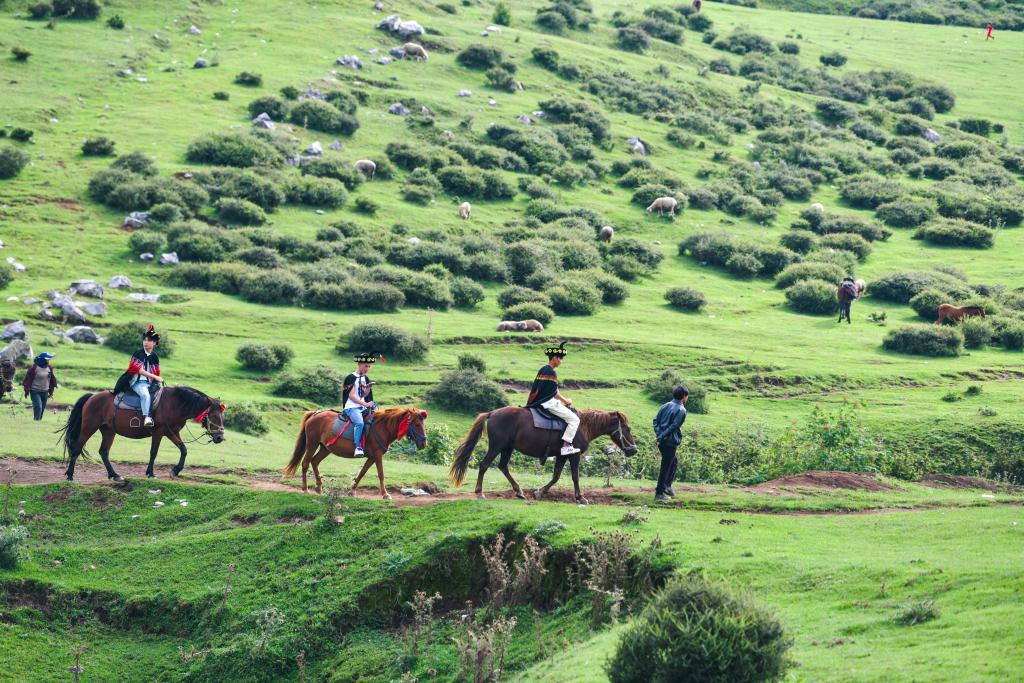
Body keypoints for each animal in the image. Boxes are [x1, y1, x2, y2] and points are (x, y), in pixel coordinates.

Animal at [58, 387, 226, 483]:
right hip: (89, 428)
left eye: (222, 415)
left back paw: (114, 475)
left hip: (108, 431)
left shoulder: (171, 432)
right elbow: (153, 452)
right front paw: (150, 473)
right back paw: (70, 475)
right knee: (77, 449)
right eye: (214, 415)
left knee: (104, 452)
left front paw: (175, 470)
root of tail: (92, 397)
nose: (220, 438)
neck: (174, 404)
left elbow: (183, 450)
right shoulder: (158, 432)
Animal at [280, 405, 428, 497]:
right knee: (305, 463)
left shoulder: (372, 457)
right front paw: (385, 494)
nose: (423, 443)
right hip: (312, 443)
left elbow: (362, 473)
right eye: (416, 424)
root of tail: (315, 413)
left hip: (325, 448)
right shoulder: (377, 455)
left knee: (315, 462)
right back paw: (305, 489)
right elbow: (381, 474)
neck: (382, 427)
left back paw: (319, 487)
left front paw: (352, 491)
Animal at [450, 405, 634, 507]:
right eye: (628, 428)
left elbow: (556, 476)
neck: (583, 426)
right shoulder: (574, 455)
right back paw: (479, 492)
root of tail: (492, 413)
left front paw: (539, 492)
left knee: (503, 466)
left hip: (507, 448)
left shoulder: (562, 456)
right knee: (484, 464)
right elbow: (575, 476)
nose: (634, 450)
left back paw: (519, 491)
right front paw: (581, 498)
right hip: (497, 446)